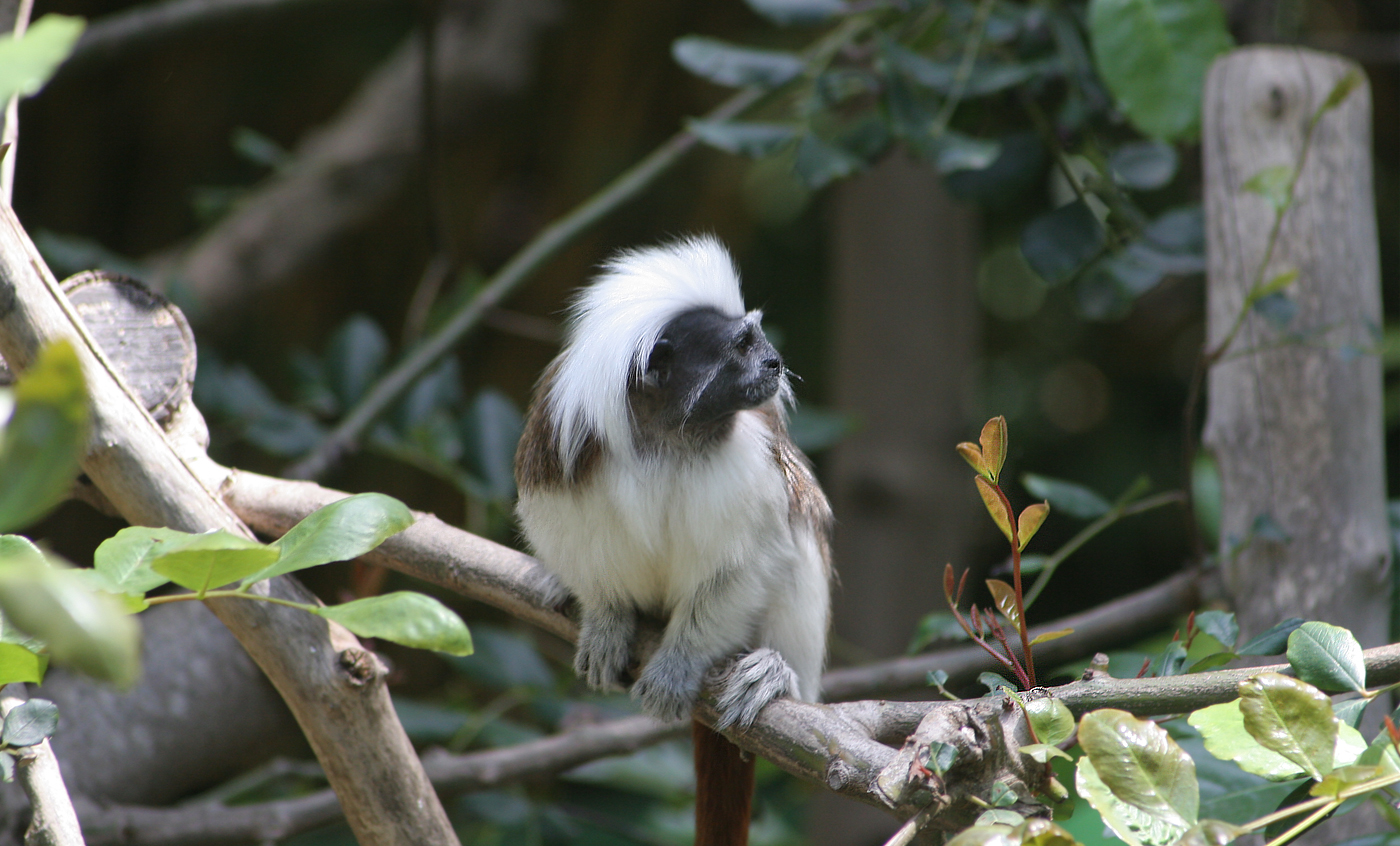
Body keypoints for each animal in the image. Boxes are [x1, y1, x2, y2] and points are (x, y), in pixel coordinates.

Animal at [520, 235, 834, 840]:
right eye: (742, 344)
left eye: (758, 339)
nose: (776, 362)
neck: (668, 435)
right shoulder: (560, 443)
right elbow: (563, 534)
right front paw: (607, 618)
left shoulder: (753, 461)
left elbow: (743, 566)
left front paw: (680, 663)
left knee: (798, 531)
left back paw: (774, 676)